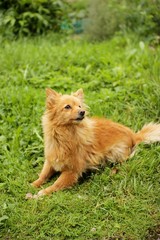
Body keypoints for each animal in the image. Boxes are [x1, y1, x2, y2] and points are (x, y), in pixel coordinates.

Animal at [26, 88, 160, 199]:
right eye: (67, 107)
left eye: (79, 106)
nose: (82, 112)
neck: (65, 135)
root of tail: (134, 135)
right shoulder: (51, 161)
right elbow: (43, 175)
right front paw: (32, 184)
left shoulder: (71, 172)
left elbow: (56, 184)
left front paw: (42, 193)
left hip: (115, 152)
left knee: (125, 160)